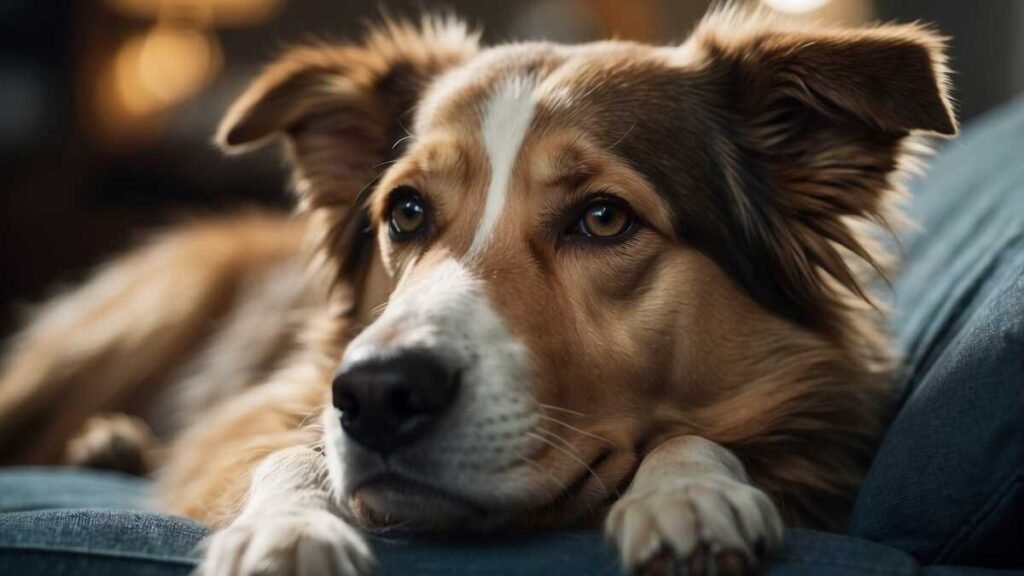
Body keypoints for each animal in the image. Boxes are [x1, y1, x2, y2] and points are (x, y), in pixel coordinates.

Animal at [0, 8, 950, 573]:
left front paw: (690, 493)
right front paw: (290, 530)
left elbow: (696, 439)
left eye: (604, 218)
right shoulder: (256, 414)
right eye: (407, 211)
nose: (378, 396)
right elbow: (290, 453)